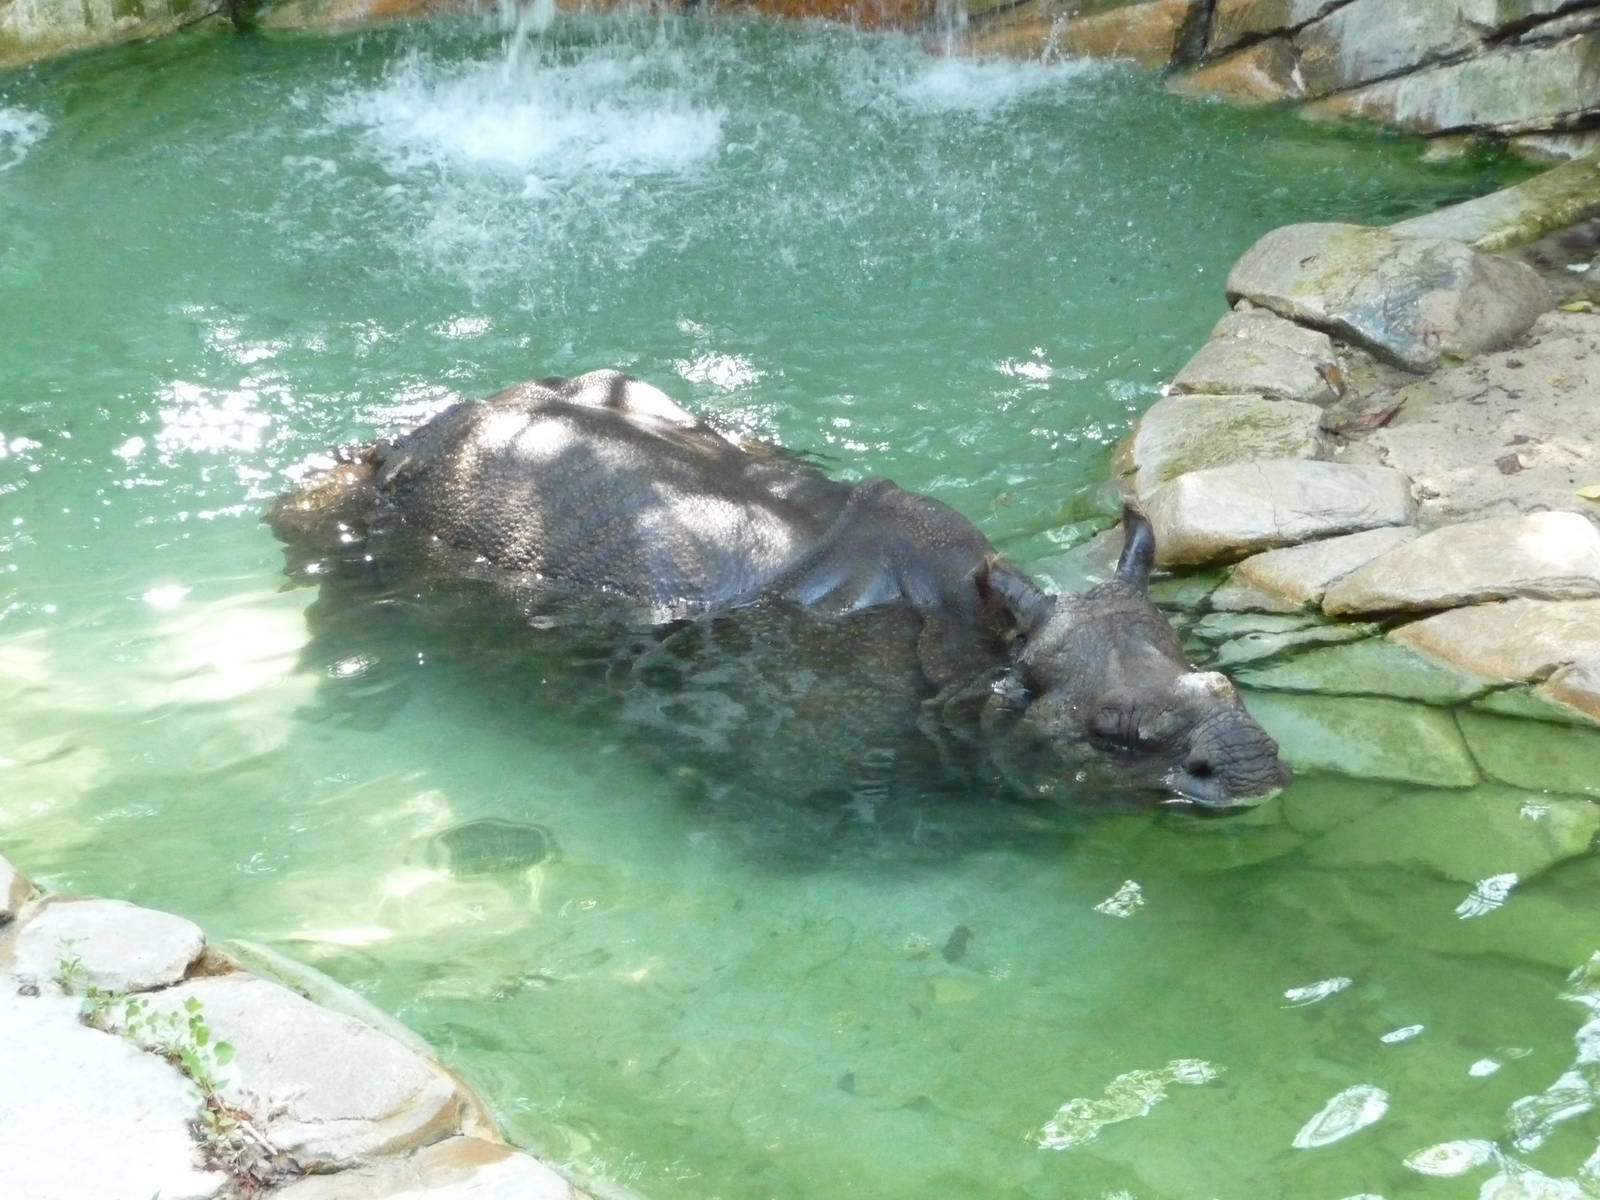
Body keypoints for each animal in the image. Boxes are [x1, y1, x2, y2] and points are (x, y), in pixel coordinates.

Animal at [268, 369, 1289, 813]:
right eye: (1113, 736)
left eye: (1225, 686)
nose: (1255, 772)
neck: (982, 654)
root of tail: (410, 435)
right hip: (390, 508)